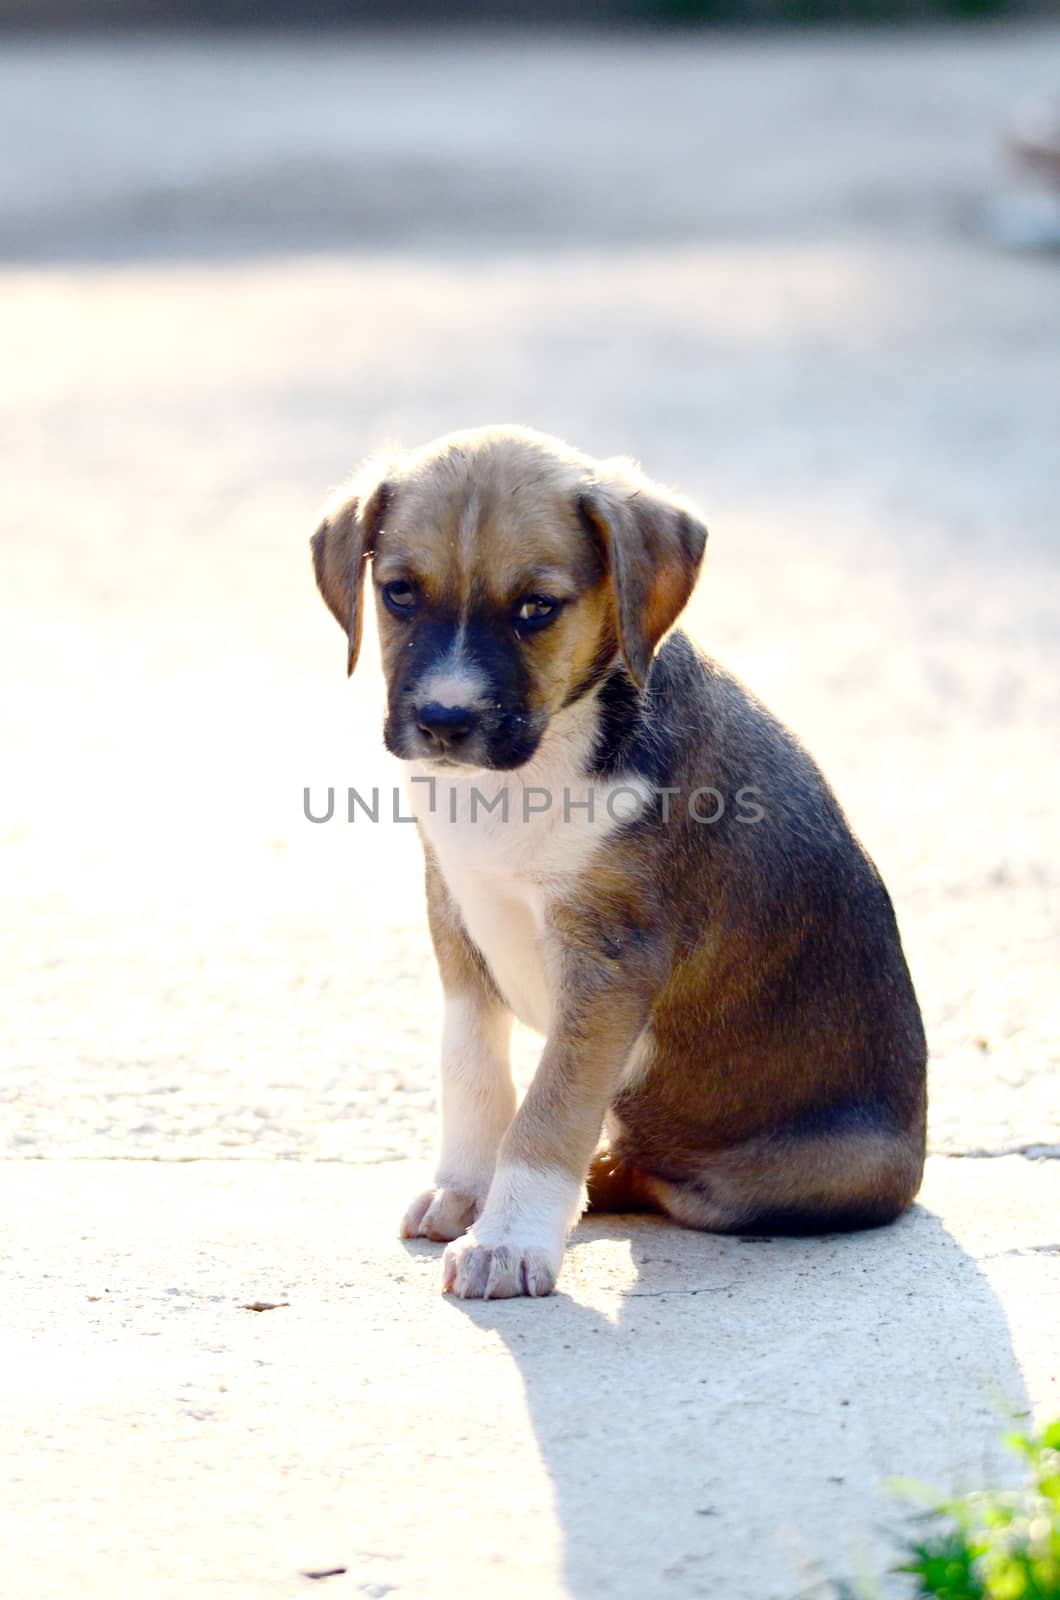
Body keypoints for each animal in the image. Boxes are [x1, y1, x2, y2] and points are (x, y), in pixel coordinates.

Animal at [309, 422, 928, 1299]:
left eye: (536, 608)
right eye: (399, 593)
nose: (444, 721)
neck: (530, 771)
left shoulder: (612, 959)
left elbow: (550, 1107)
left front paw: (508, 1238)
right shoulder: (455, 915)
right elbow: (471, 1068)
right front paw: (466, 1190)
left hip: (821, 1169)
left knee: (664, 1179)